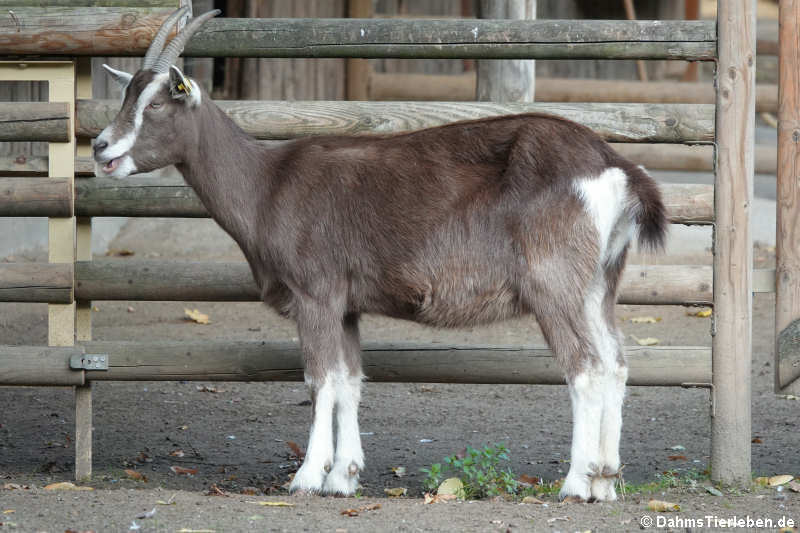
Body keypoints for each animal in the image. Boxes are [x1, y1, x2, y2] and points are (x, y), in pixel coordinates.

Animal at [92, 7, 668, 498]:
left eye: (157, 104)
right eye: (127, 98)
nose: (100, 148)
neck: (266, 184)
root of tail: (617, 168)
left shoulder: (315, 293)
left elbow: (320, 379)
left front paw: (307, 476)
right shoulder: (347, 304)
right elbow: (350, 380)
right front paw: (343, 477)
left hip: (554, 282)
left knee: (585, 368)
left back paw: (575, 483)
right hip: (599, 284)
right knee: (615, 364)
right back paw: (606, 480)